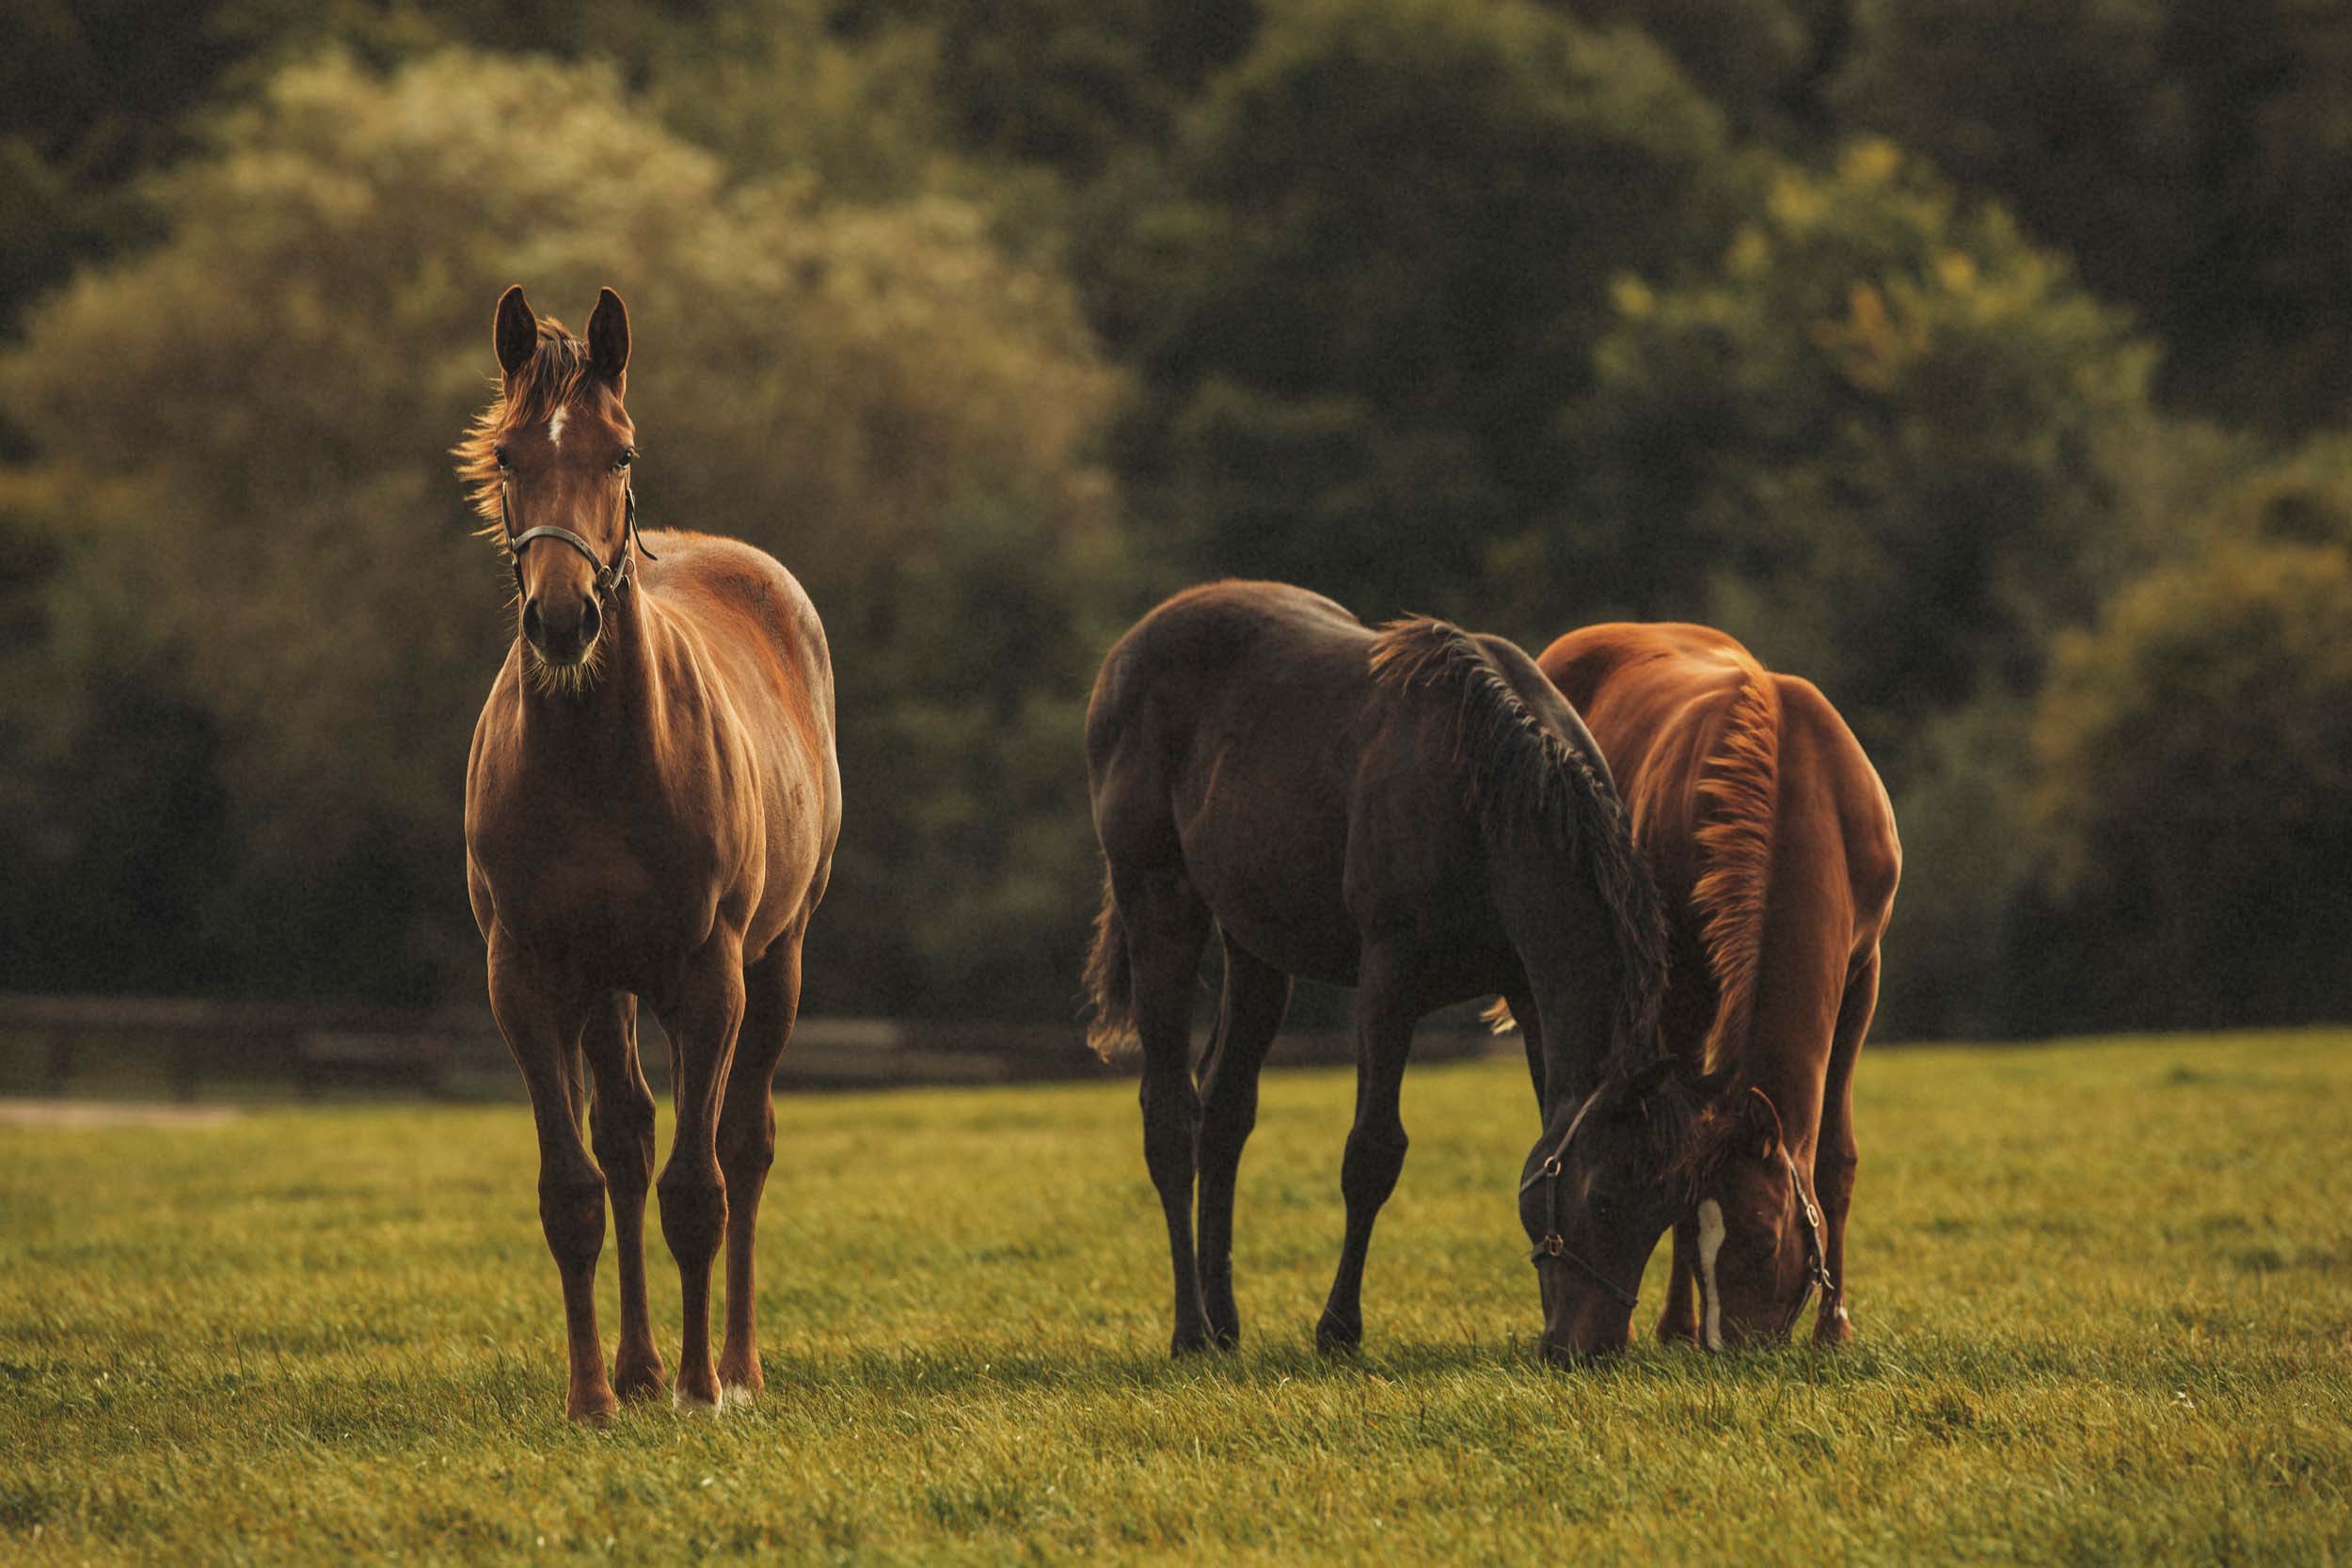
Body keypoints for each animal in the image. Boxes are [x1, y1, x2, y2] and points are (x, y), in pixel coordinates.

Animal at [456, 285, 837, 1419]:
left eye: (619, 452)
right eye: (507, 458)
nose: (563, 618)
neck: (599, 761)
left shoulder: (709, 976)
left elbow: (699, 1187)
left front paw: (704, 1388)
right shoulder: (528, 978)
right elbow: (576, 1188)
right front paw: (593, 1394)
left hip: (776, 960)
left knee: (744, 1147)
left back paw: (738, 1367)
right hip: (608, 991)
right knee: (625, 1141)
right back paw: (634, 1368)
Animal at [1082, 580, 1693, 1363]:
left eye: (1665, 1204)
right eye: (1607, 1198)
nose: (1592, 1347)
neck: (1487, 796)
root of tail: (1128, 650)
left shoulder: (1527, 992)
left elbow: (1542, 1128)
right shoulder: (1388, 984)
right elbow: (1373, 1151)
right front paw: (1338, 1328)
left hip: (1255, 946)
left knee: (1223, 1112)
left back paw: (1224, 1324)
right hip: (1160, 905)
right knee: (1169, 1118)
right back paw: (1190, 1329)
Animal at [1515, 625, 1900, 1363]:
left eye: (1765, 1244)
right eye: (1701, 1235)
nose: (1735, 1350)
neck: (1799, 788)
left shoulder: (1863, 974)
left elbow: (1835, 1160)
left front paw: (1833, 1327)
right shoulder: (1684, 992)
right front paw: (1676, 1325)